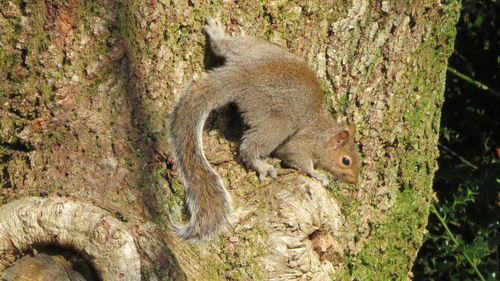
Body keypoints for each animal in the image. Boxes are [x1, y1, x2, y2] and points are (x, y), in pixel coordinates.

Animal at [168, 18, 360, 240]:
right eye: (346, 161)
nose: (354, 181)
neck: (321, 133)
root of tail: (243, 74)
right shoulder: (301, 144)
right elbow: (299, 160)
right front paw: (318, 175)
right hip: (276, 123)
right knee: (249, 148)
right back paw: (261, 165)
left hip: (254, 47)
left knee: (224, 47)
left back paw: (216, 35)